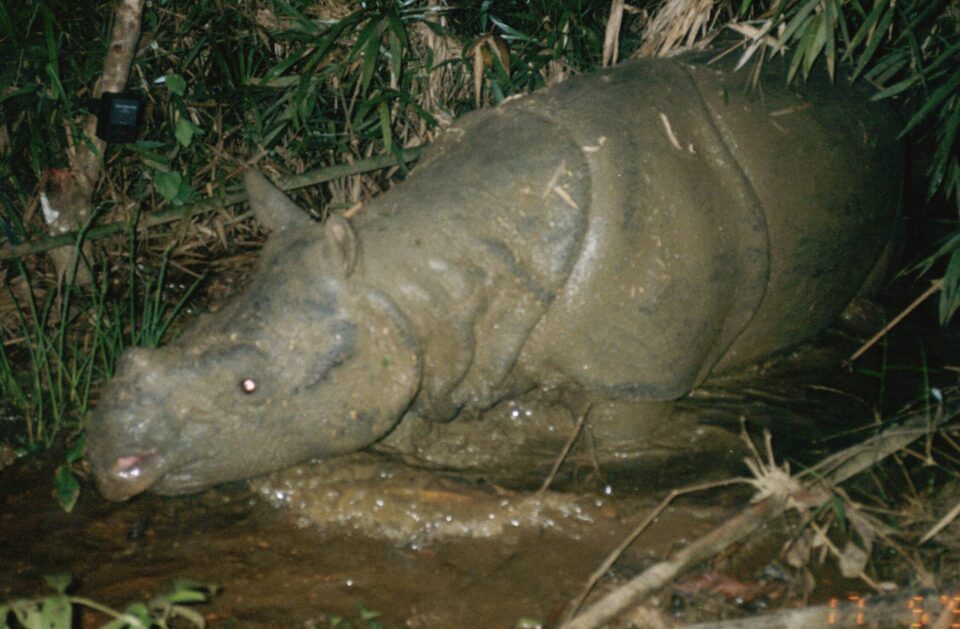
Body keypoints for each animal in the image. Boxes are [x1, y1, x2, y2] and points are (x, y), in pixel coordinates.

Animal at [88, 51, 902, 501]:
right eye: (193, 323)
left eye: (250, 387)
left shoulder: (639, 379)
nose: (107, 458)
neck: (410, 265)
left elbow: (619, 441)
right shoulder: (419, 339)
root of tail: (869, 96)